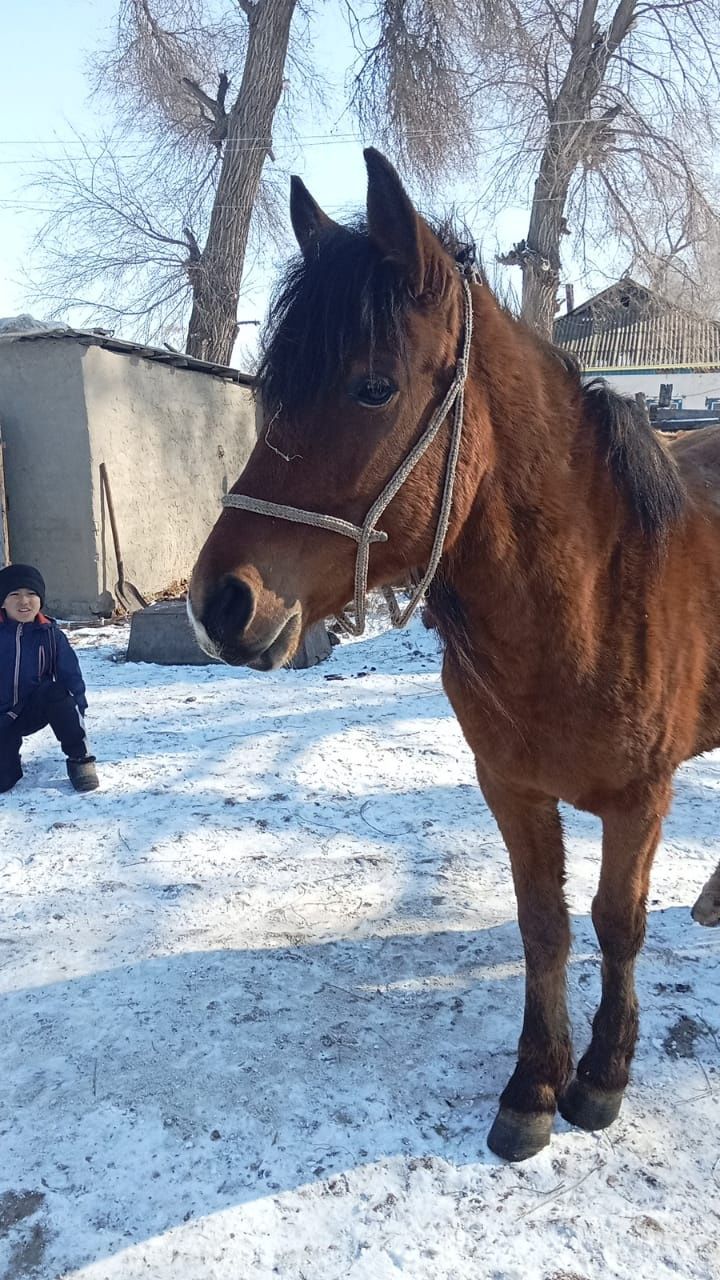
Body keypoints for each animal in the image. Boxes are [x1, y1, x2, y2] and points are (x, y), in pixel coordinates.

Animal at [189, 147, 717, 1162]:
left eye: (373, 386)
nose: (220, 601)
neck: (589, 601)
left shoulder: (642, 798)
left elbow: (616, 924)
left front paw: (602, 1076)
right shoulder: (510, 788)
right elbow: (544, 926)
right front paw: (534, 1086)